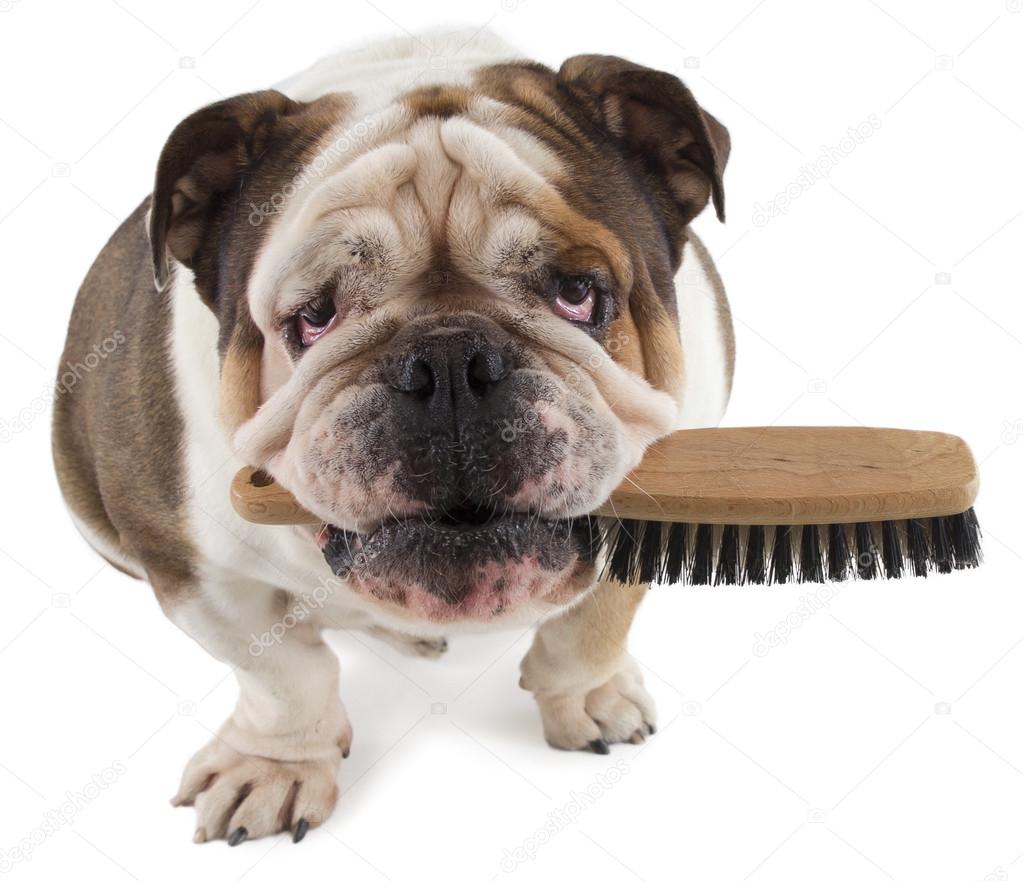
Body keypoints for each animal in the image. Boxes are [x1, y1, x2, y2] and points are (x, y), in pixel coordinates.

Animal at [51, 29, 732, 847]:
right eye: (314, 317)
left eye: (577, 293)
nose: (448, 363)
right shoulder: (197, 572)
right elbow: (280, 674)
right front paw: (273, 764)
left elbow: (595, 619)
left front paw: (588, 696)